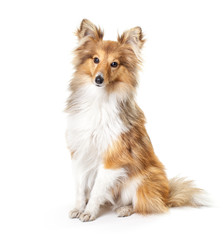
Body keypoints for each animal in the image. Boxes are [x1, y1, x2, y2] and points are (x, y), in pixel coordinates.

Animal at [65, 18, 205, 221]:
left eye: (114, 64)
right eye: (96, 59)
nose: (99, 80)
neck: (99, 99)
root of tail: (166, 196)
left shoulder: (112, 158)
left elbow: (97, 189)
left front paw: (89, 212)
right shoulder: (81, 152)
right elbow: (80, 187)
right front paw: (78, 208)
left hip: (141, 180)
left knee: (144, 204)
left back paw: (125, 209)